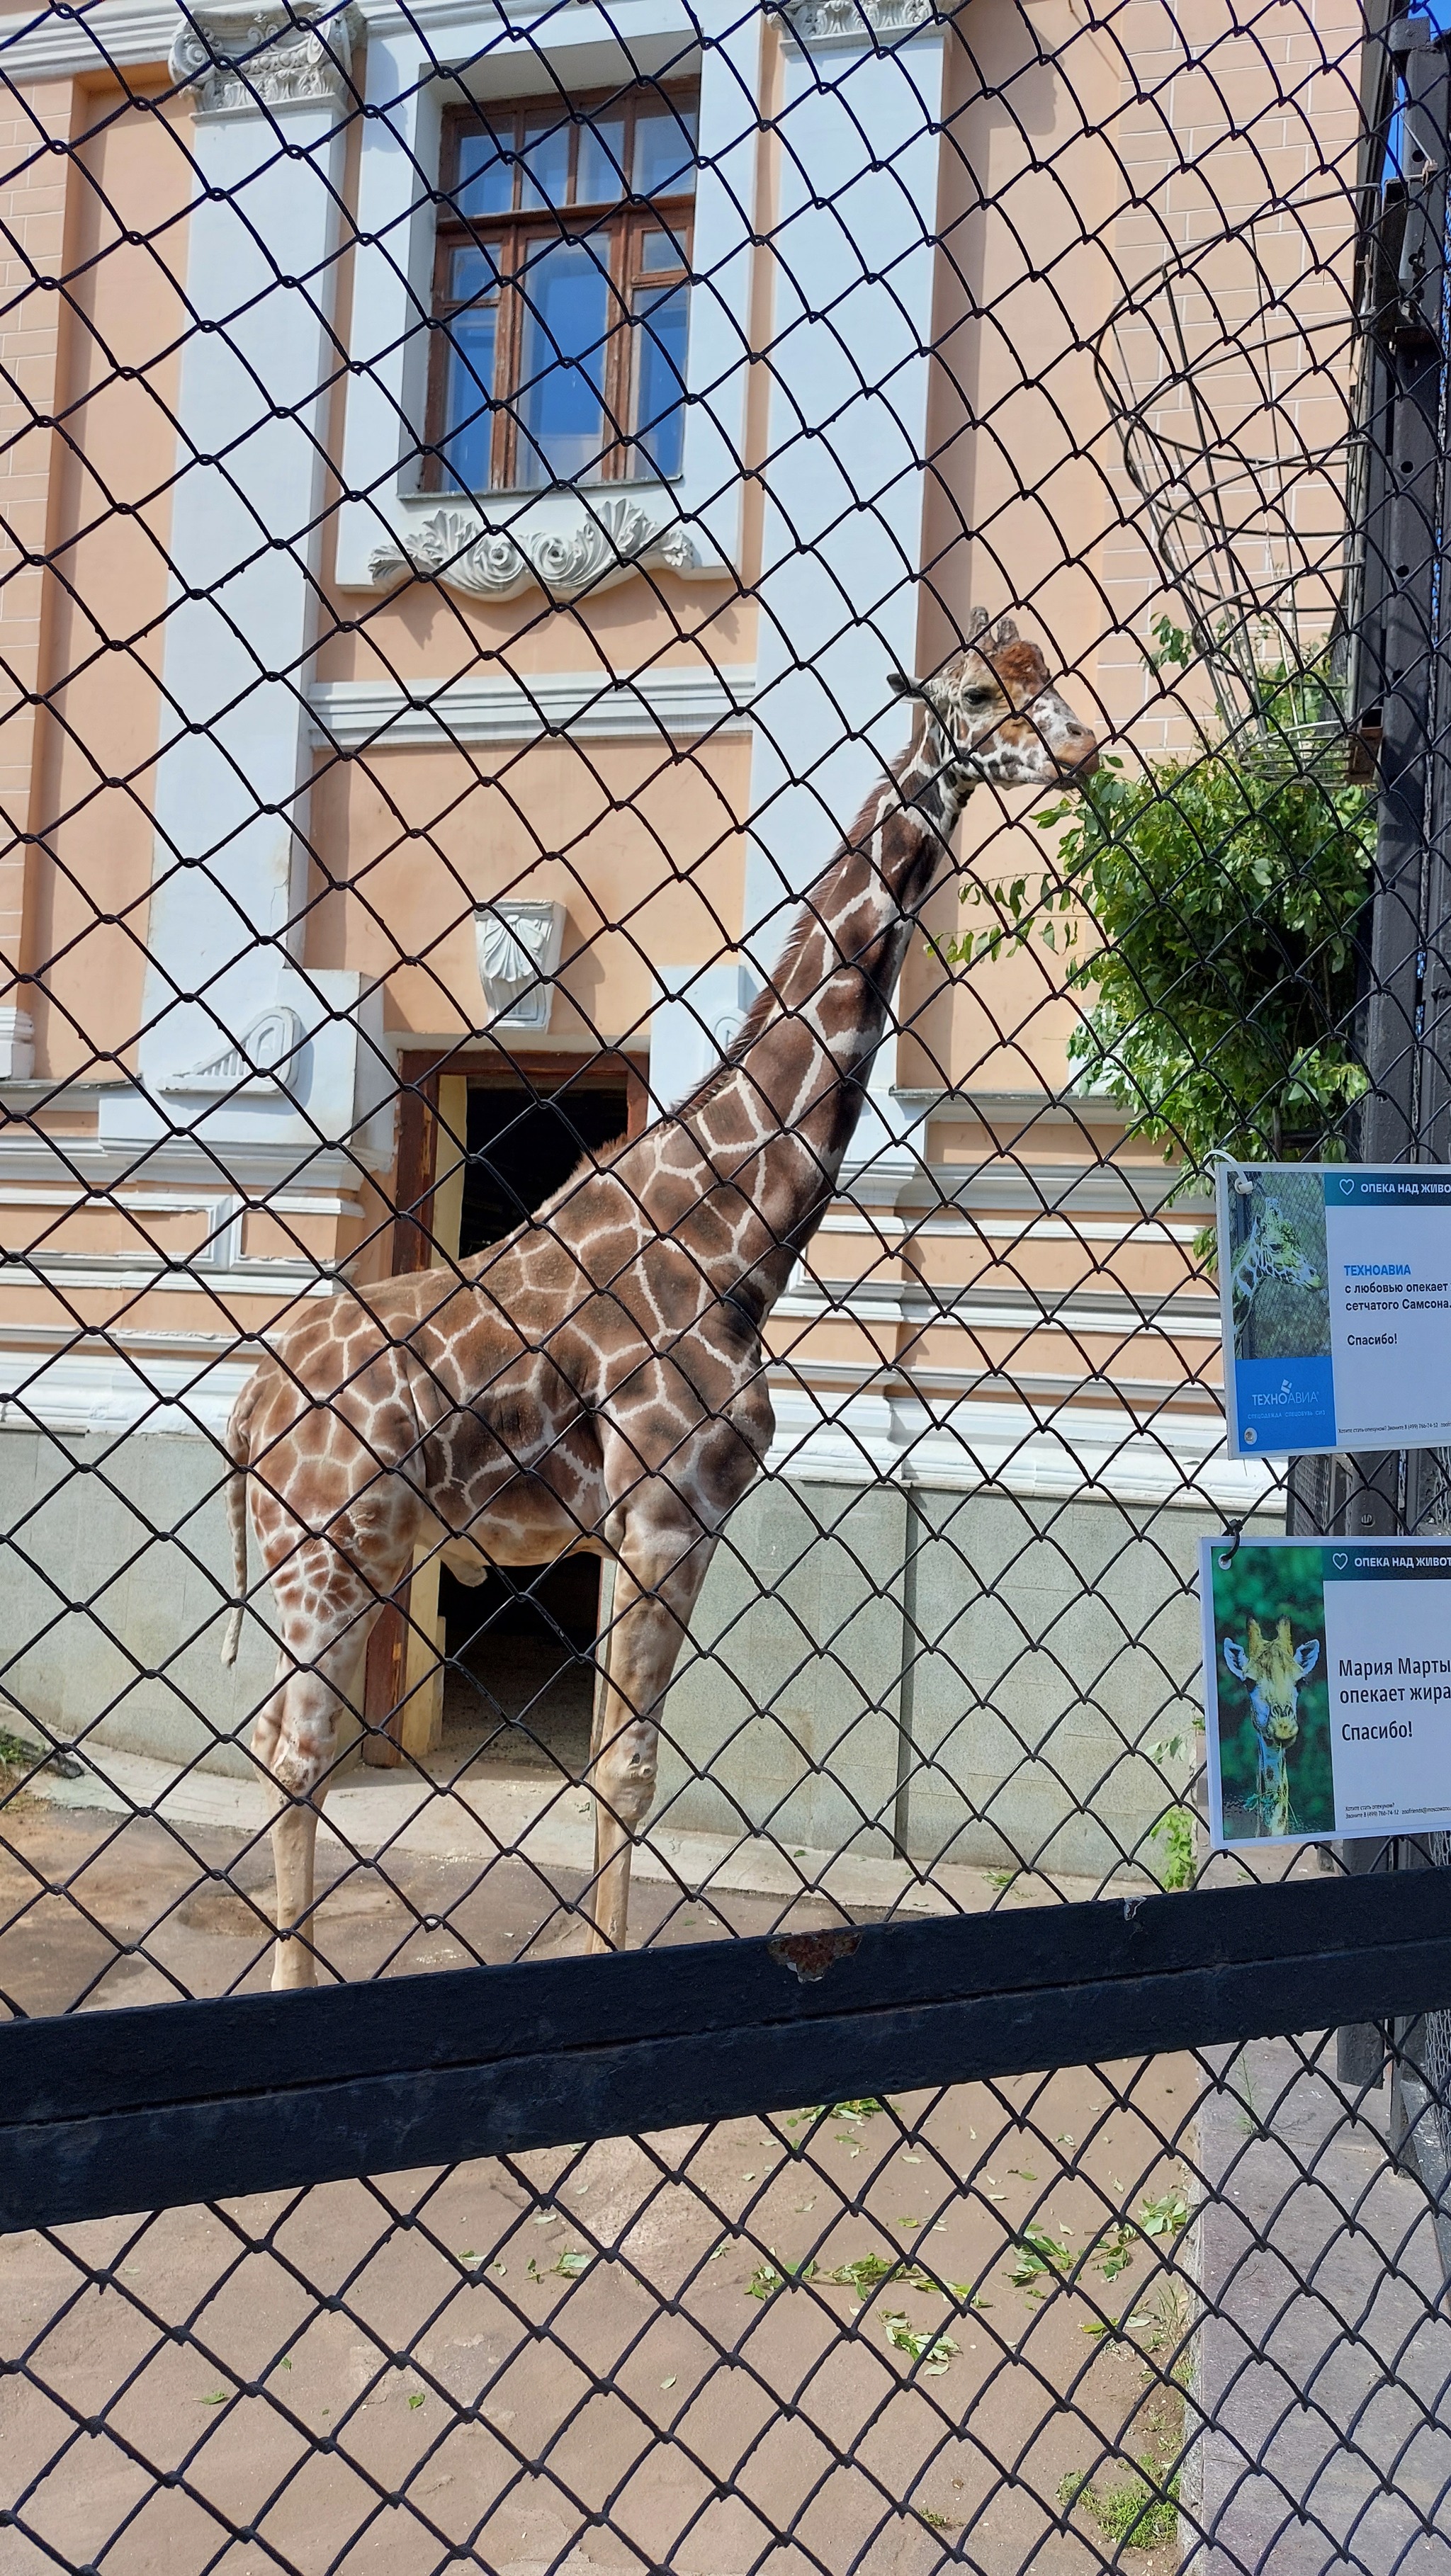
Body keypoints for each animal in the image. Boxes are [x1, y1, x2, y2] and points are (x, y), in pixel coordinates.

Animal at [219, 613, 1102, 1978]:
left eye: (1044, 677)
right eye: (970, 696)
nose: (1078, 747)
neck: (738, 1234)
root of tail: (251, 1399)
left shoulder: (659, 1528)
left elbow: (613, 1769)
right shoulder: (663, 1516)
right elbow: (623, 1774)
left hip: (338, 1555)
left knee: (285, 1750)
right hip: (325, 1550)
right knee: (295, 1755)